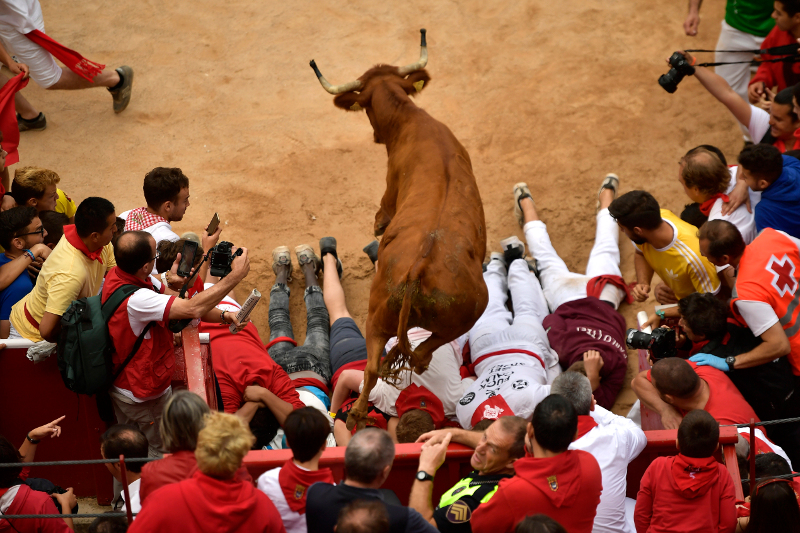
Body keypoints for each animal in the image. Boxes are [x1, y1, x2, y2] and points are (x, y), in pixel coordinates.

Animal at [310, 28, 488, 428]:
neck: (412, 120)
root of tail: (420, 267)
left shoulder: (388, 196)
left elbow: (379, 217)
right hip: (436, 313)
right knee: (403, 359)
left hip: (389, 316)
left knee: (390, 362)